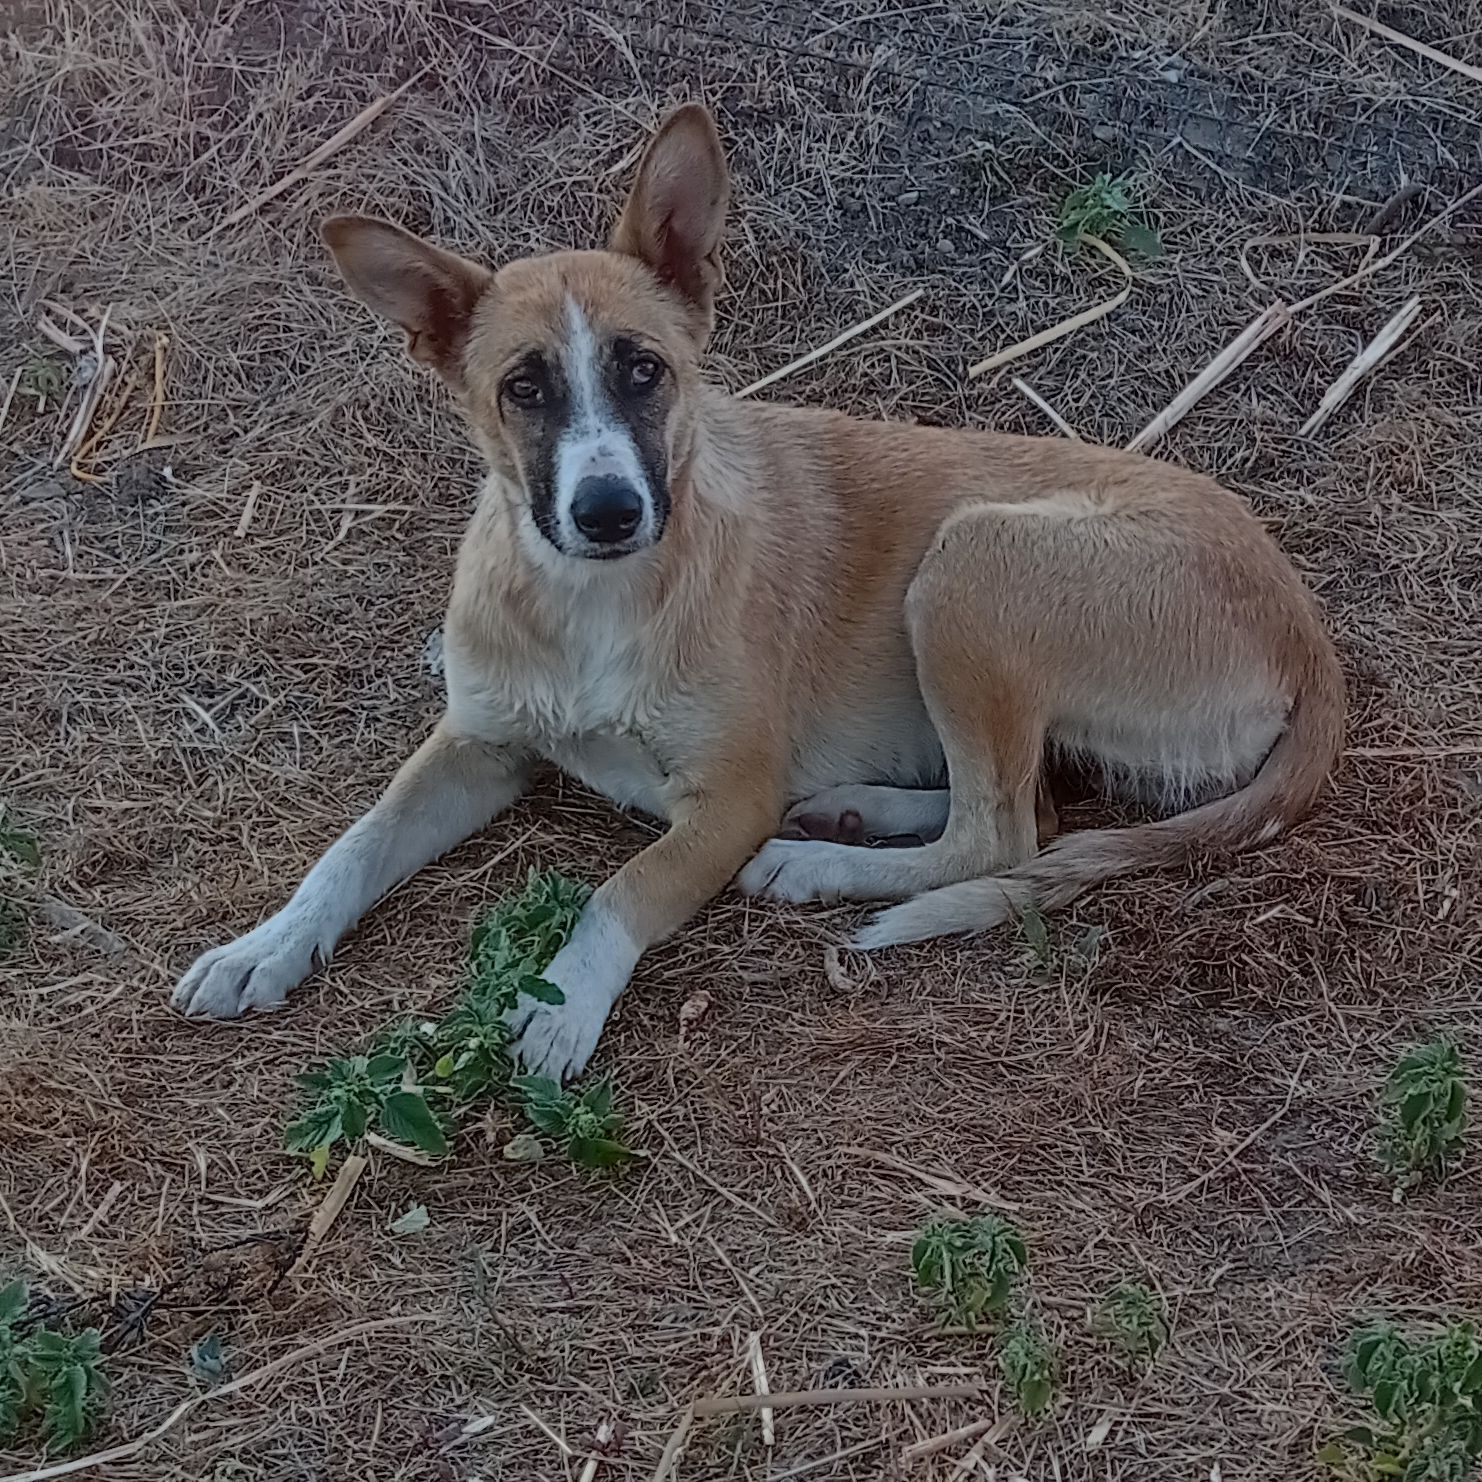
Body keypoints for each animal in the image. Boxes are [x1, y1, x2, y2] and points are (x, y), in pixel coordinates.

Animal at [172, 104, 1344, 1081]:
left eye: (645, 370)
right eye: (524, 388)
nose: (609, 510)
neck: (595, 598)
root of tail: (1309, 634)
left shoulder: (727, 798)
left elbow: (622, 888)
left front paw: (564, 1000)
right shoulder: (478, 743)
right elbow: (353, 847)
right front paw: (264, 945)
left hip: (970, 562)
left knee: (1004, 835)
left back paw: (816, 862)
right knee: (1032, 808)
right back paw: (854, 809)